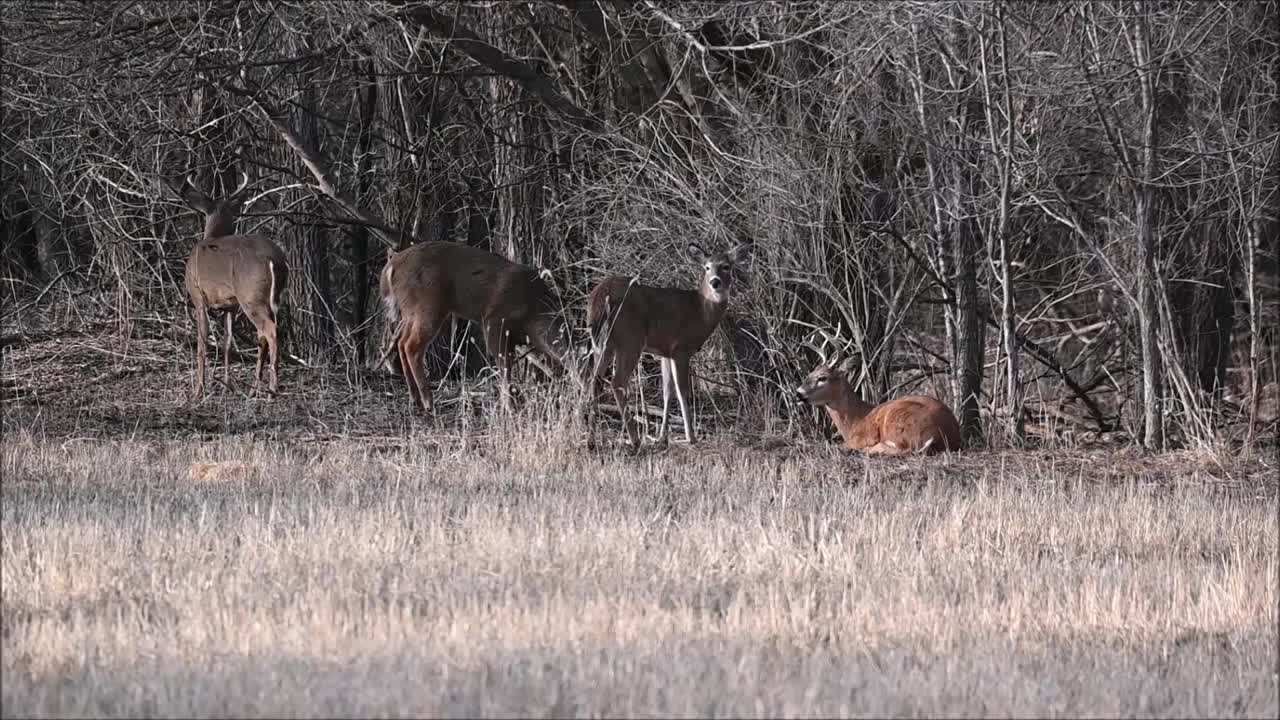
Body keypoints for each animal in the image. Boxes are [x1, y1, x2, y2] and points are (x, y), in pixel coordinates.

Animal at [180, 171, 290, 399]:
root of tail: (274, 260)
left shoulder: (198, 298)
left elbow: (202, 345)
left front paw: (198, 390)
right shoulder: (229, 305)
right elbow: (228, 344)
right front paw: (226, 385)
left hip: (250, 295)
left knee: (271, 330)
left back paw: (272, 390)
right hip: (270, 297)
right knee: (263, 334)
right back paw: (255, 388)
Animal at [376, 240, 573, 412]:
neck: (533, 308)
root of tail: (390, 268)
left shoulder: (519, 337)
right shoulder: (494, 320)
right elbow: (504, 365)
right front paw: (509, 406)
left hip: (410, 311)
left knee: (401, 342)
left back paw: (414, 398)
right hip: (428, 305)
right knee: (412, 345)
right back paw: (428, 402)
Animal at [583, 242, 747, 448]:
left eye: (726, 266)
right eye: (707, 267)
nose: (715, 282)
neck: (700, 312)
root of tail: (600, 295)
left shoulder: (664, 352)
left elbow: (667, 390)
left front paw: (662, 437)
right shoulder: (681, 349)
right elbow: (682, 390)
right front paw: (691, 436)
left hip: (604, 343)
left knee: (594, 381)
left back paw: (591, 441)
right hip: (630, 339)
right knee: (617, 381)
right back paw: (635, 439)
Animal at [788, 327, 962, 450]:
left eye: (822, 378)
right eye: (810, 374)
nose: (798, 393)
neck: (854, 422)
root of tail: (944, 433)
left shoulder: (862, 437)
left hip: (898, 420)